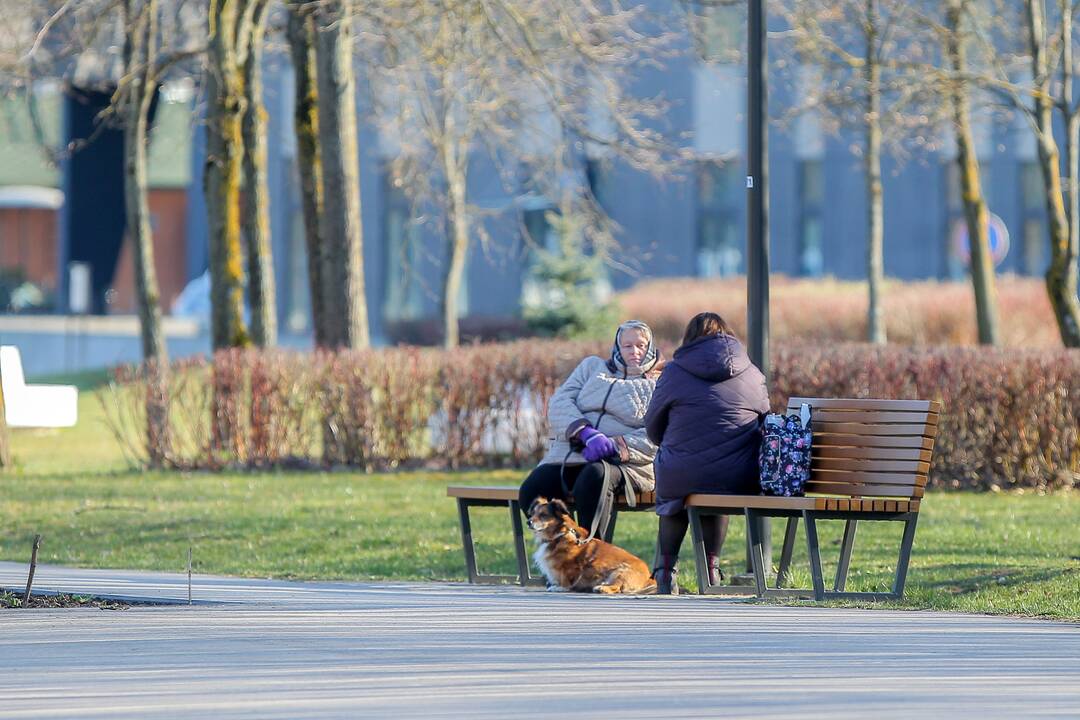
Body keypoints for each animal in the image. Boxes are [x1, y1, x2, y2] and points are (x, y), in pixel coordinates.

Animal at [524, 498, 652, 595]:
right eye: (533, 514)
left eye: (543, 515)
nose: (528, 522)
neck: (559, 534)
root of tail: (649, 577)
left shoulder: (570, 567)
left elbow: (566, 579)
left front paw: (561, 587)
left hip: (620, 571)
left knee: (617, 587)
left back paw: (602, 588)